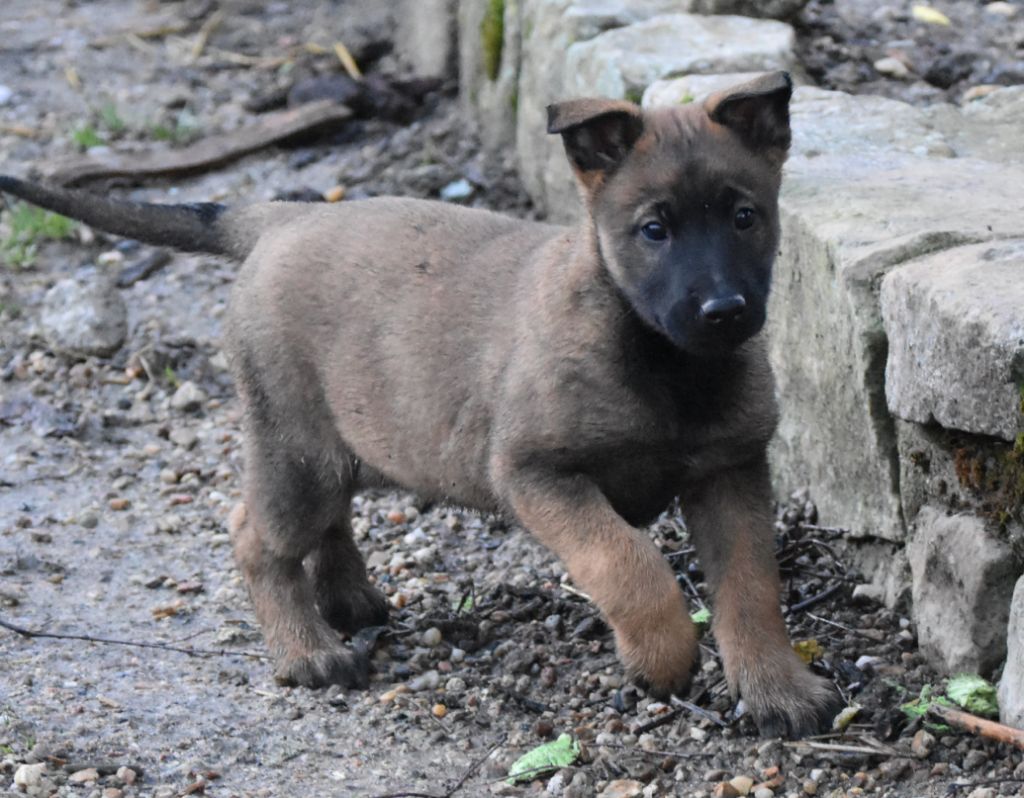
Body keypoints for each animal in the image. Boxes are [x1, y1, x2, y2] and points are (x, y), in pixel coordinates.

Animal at [2, 73, 839, 737]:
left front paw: (777, 689)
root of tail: (282, 215)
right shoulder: (540, 475)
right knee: (254, 537)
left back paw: (348, 601)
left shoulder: (729, 474)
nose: (725, 312)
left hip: (351, 443)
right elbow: (628, 563)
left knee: (328, 521)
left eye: (745, 217)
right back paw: (307, 652)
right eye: (654, 230)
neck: (663, 363)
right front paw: (661, 657)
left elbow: (751, 591)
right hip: (295, 450)